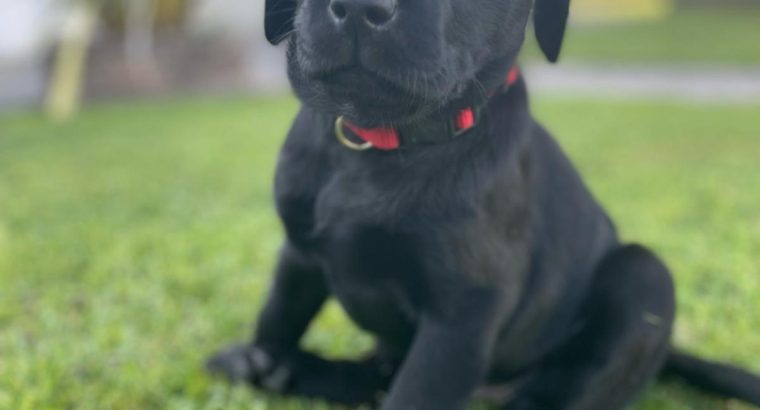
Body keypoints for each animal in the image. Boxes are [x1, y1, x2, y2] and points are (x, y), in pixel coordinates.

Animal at [208, 0, 760, 408]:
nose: (362, 5)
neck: (382, 144)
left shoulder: (466, 310)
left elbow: (415, 394)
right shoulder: (299, 255)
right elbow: (277, 318)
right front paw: (263, 354)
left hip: (645, 277)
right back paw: (274, 369)